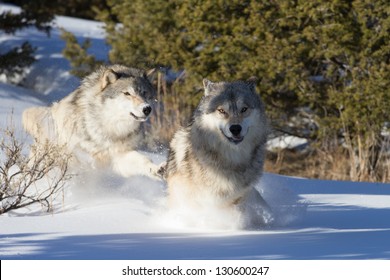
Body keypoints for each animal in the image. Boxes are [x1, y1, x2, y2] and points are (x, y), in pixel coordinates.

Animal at [22, 64, 162, 179]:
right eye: (127, 93)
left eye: (144, 93)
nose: (147, 109)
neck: (110, 128)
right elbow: (83, 158)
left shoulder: (119, 155)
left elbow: (142, 159)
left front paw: (157, 169)